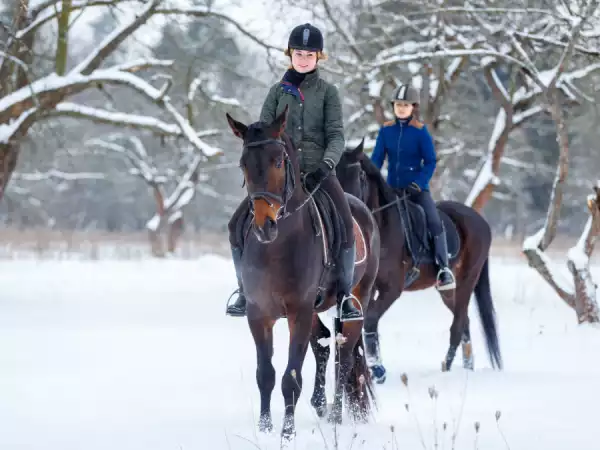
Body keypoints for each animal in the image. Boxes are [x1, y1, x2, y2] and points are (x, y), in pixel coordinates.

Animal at [225, 107, 380, 442]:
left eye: (278, 161)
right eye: (244, 163)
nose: (264, 226)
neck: (277, 247)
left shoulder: (298, 311)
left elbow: (291, 378)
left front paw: (287, 433)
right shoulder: (258, 313)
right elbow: (266, 374)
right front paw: (265, 428)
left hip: (354, 300)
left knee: (344, 356)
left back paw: (335, 415)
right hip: (314, 310)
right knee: (322, 346)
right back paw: (320, 405)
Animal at [338, 139, 502, 382]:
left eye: (359, 175)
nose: (346, 208)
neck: (382, 226)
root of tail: (481, 221)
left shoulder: (392, 289)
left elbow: (370, 320)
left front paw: (377, 368)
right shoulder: (366, 288)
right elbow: (367, 322)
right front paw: (374, 368)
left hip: (467, 281)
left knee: (458, 325)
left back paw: (447, 369)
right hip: (448, 291)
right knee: (464, 322)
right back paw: (466, 367)